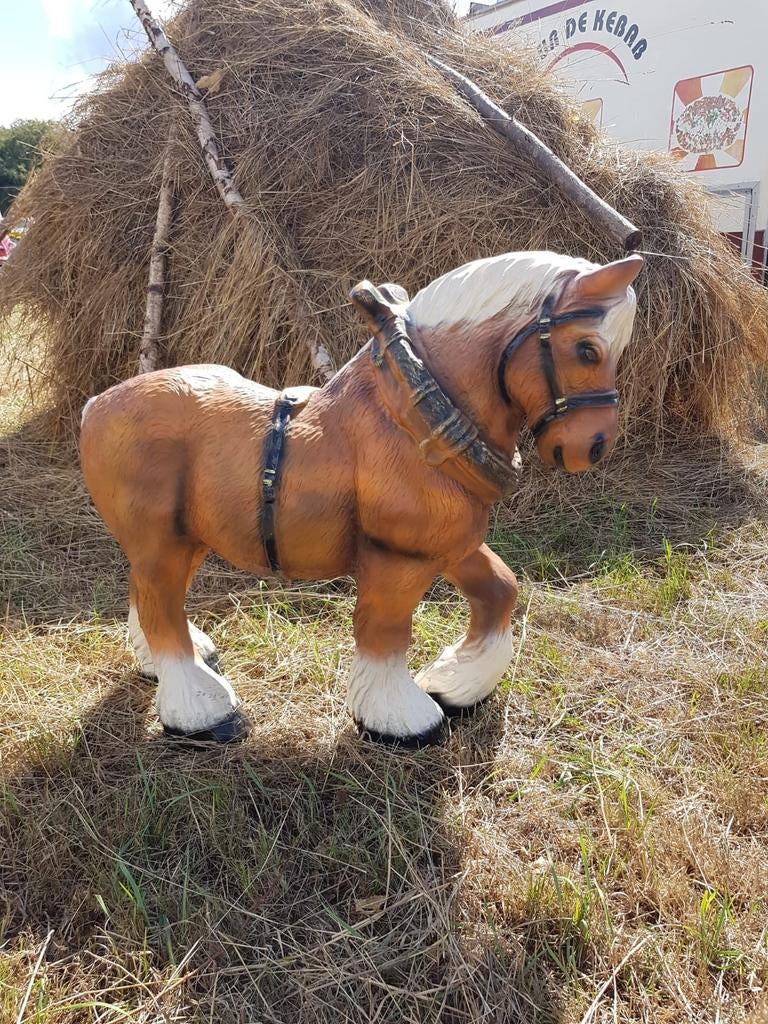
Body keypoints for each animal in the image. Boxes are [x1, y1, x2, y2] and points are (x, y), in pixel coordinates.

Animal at [80, 249, 643, 746]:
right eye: (588, 349)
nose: (593, 446)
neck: (411, 420)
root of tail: (96, 406)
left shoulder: (451, 544)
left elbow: (501, 589)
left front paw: (456, 685)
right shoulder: (397, 556)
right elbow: (384, 630)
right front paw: (401, 719)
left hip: (181, 539)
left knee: (148, 594)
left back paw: (177, 663)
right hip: (162, 540)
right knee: (160, 605)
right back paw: (204, 711)